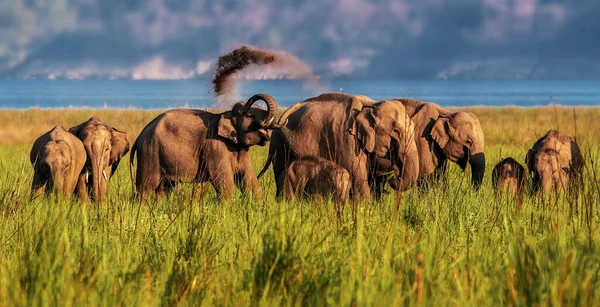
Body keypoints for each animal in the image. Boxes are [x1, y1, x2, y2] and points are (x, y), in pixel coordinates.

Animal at [129, 92, 284, 201]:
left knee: (164, 187)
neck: (225, 114)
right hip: (150, 151)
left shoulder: (241, 151)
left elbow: (249, 179)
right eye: (251, 115)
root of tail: (139, 135)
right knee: (146, 187)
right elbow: (223, 181)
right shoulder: (215, 146)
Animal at [258, 92, 422, 201]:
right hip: (279, 146)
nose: (394, 174)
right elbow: (359, 180)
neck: (372, 105)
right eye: (396, 131)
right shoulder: (347, 140)